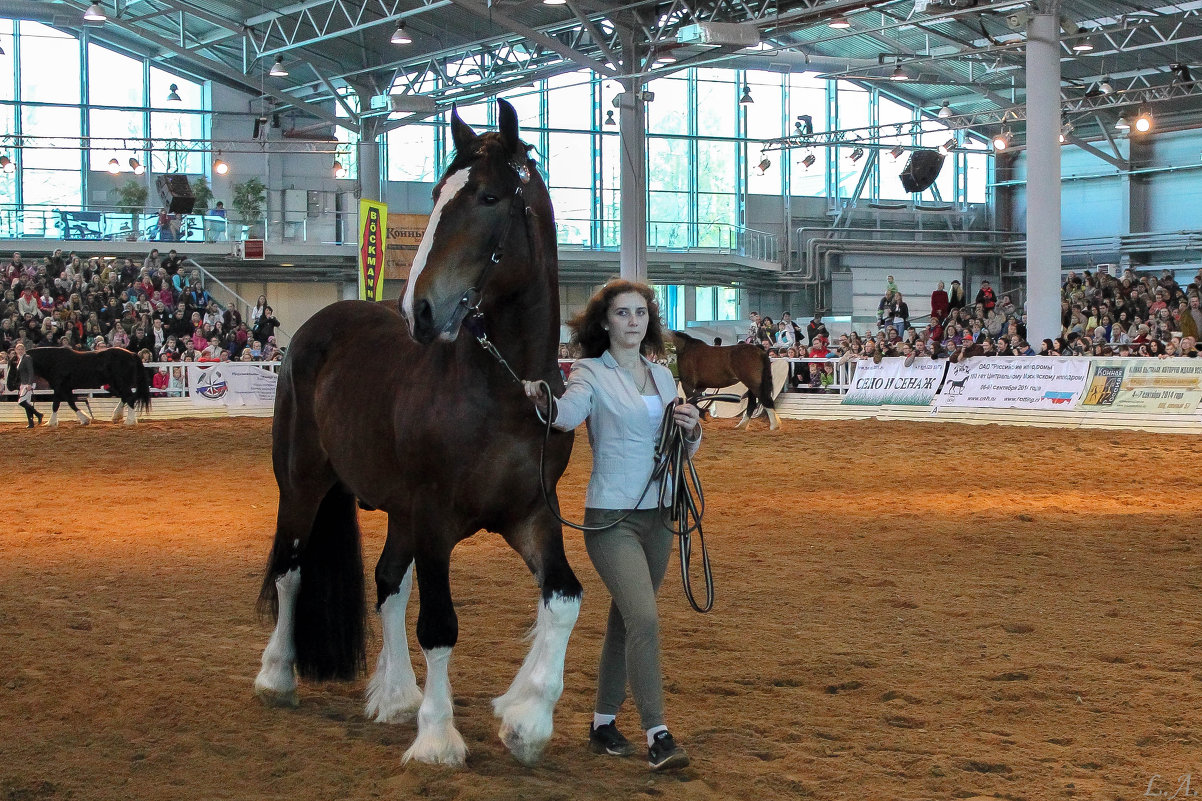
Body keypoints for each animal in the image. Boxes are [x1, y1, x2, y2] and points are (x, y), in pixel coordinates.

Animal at [4, 346, 150, 428]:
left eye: (15, 366)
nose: (9, 386)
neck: (54, 361)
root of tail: (132, 354)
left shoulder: (59, 388)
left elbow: (56, 405)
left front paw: (51, 422)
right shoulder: (66, 389)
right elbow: (71, 403)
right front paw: (85, 420)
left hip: (121, 383)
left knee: (130, 398)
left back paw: (129, 421)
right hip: (114, 384)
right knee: (127, 397)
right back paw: (116, 416)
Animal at [256, 99, 584, 769]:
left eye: (488, 196)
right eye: (435, 194)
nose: (421, 310)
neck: (504, 390)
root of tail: (315, 327)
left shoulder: (532, 512)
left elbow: (564, 598)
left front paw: (526, 720)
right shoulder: (436, 517)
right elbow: (440, 624)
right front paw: (438, 738)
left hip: (398, 511)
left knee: (387, 583)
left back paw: (396, 697)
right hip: (301, 483)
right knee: (292, 568)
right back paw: (278, 676)